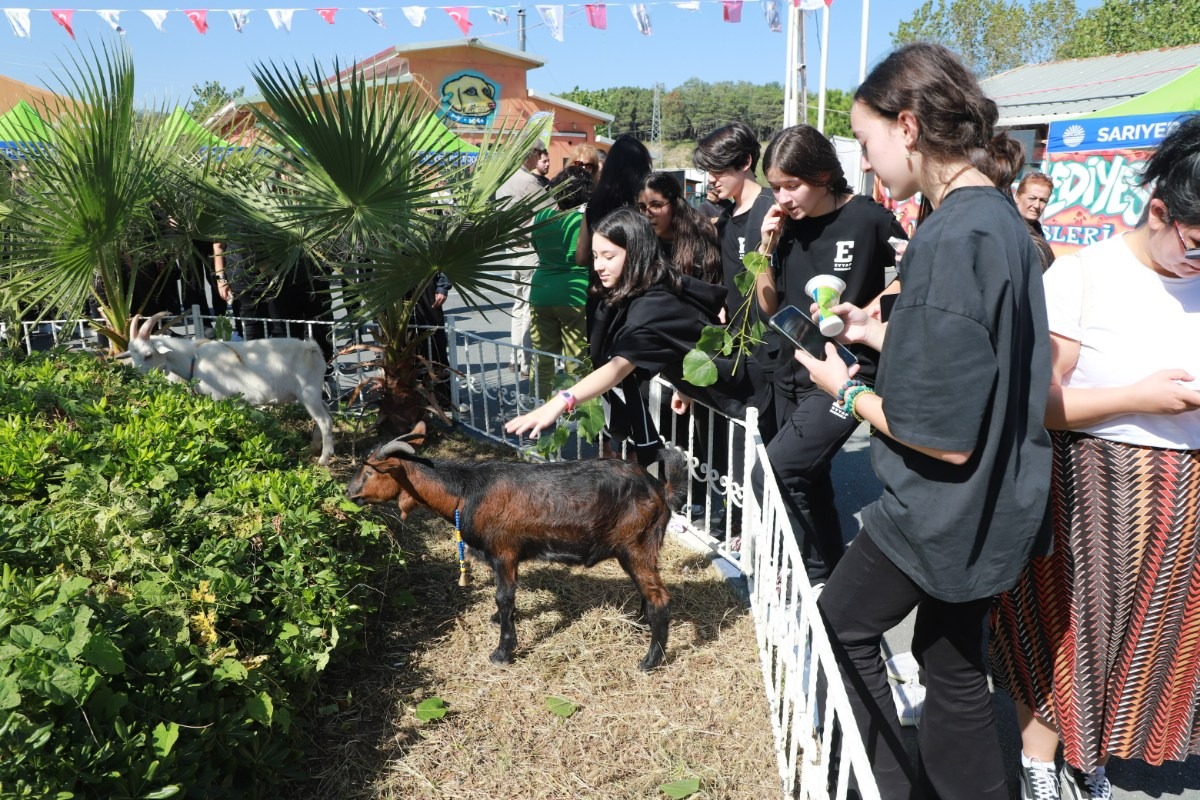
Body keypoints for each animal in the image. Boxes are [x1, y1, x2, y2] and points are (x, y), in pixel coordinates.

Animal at [123, 311, 333, 462]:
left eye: (148, 355)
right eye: (132, 354)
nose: (136, 377)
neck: (194, 359)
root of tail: (312, 349)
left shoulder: (221, 398)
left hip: (308, 392)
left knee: (324, 420)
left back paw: (324, 458)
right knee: (327, 412)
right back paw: (314, 447)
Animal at [345, 422, 686, 671]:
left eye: (370, 471)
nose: (350, 493)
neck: (466, 491)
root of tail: (660, 489)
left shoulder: (504, 552)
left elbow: (504, 597)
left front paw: (502, 652)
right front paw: (499, 624)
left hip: (636, 544)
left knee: (660, 599)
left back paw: (650, 661)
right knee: (648, 591)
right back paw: (639, 624)